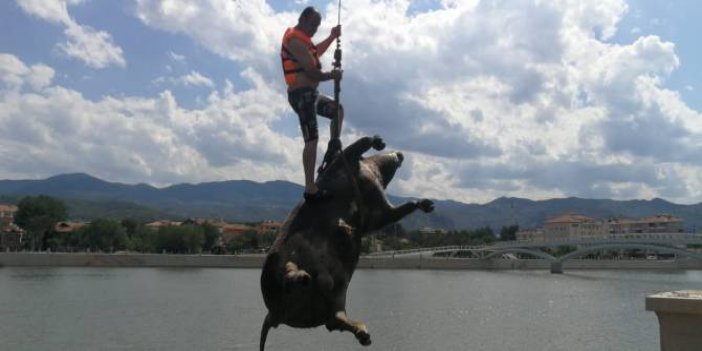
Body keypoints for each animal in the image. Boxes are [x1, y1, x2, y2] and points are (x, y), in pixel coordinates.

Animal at [258, 136, 434, 350]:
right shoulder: (344, 163)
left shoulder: (377, 215)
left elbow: (396, 211)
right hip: (278, 264)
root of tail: (273, 315)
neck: (370, 173)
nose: (400, 154)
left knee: (334, 321)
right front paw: (377, 141)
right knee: (287, 273)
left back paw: (363, 333)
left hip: (335, 301)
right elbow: (357, 145)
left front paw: (426, 204)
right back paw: (301, 276)